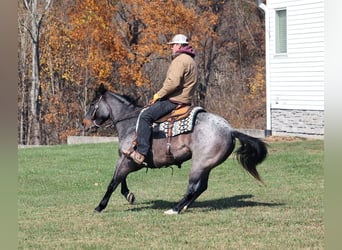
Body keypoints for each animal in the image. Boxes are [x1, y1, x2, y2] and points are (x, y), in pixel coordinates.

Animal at [82, 84, 268, 215]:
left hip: (199, 164)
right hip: (206, 166)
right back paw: (183, 207)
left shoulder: (128, 160)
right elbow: (121, 180)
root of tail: (230, 130)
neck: (130, 123)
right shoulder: (128, 160)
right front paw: (129, 195)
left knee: (193, 188)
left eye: (92, 104)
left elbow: (113, 182)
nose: (84, 124)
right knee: (201, 187)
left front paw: (100, 206)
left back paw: (175, 209)